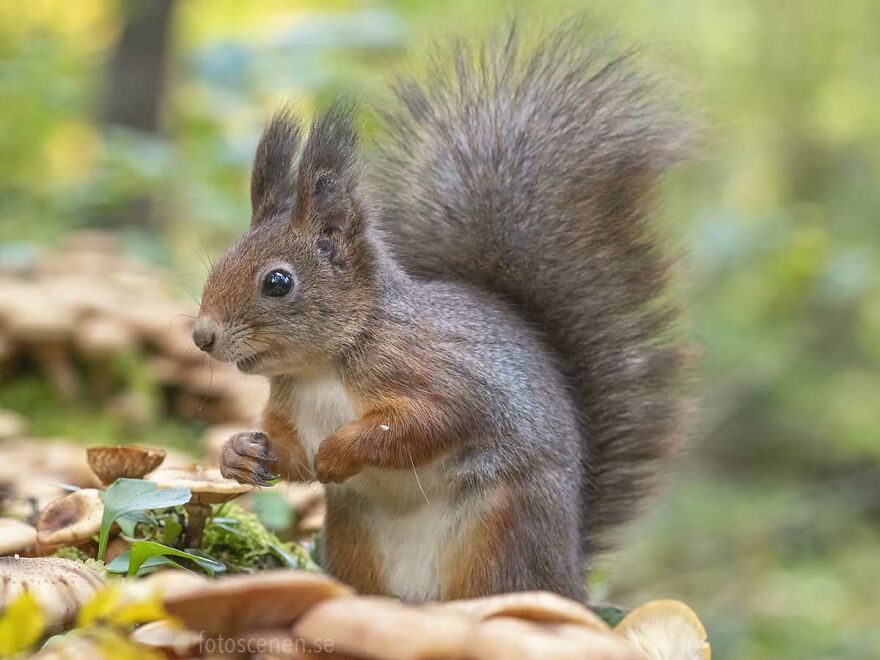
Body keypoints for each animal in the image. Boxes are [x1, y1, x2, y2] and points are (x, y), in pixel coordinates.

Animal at [193, 26, 692, 603]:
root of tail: (569, 576)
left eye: (278, 282)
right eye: (221, 260)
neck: (325, 365)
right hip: (356, 537)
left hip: (499, 532)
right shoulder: (292, 408)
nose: (201, 336)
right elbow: (291, 453)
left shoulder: (446, 377)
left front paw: (338, 452)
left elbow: (426, 424)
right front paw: (240, 454)